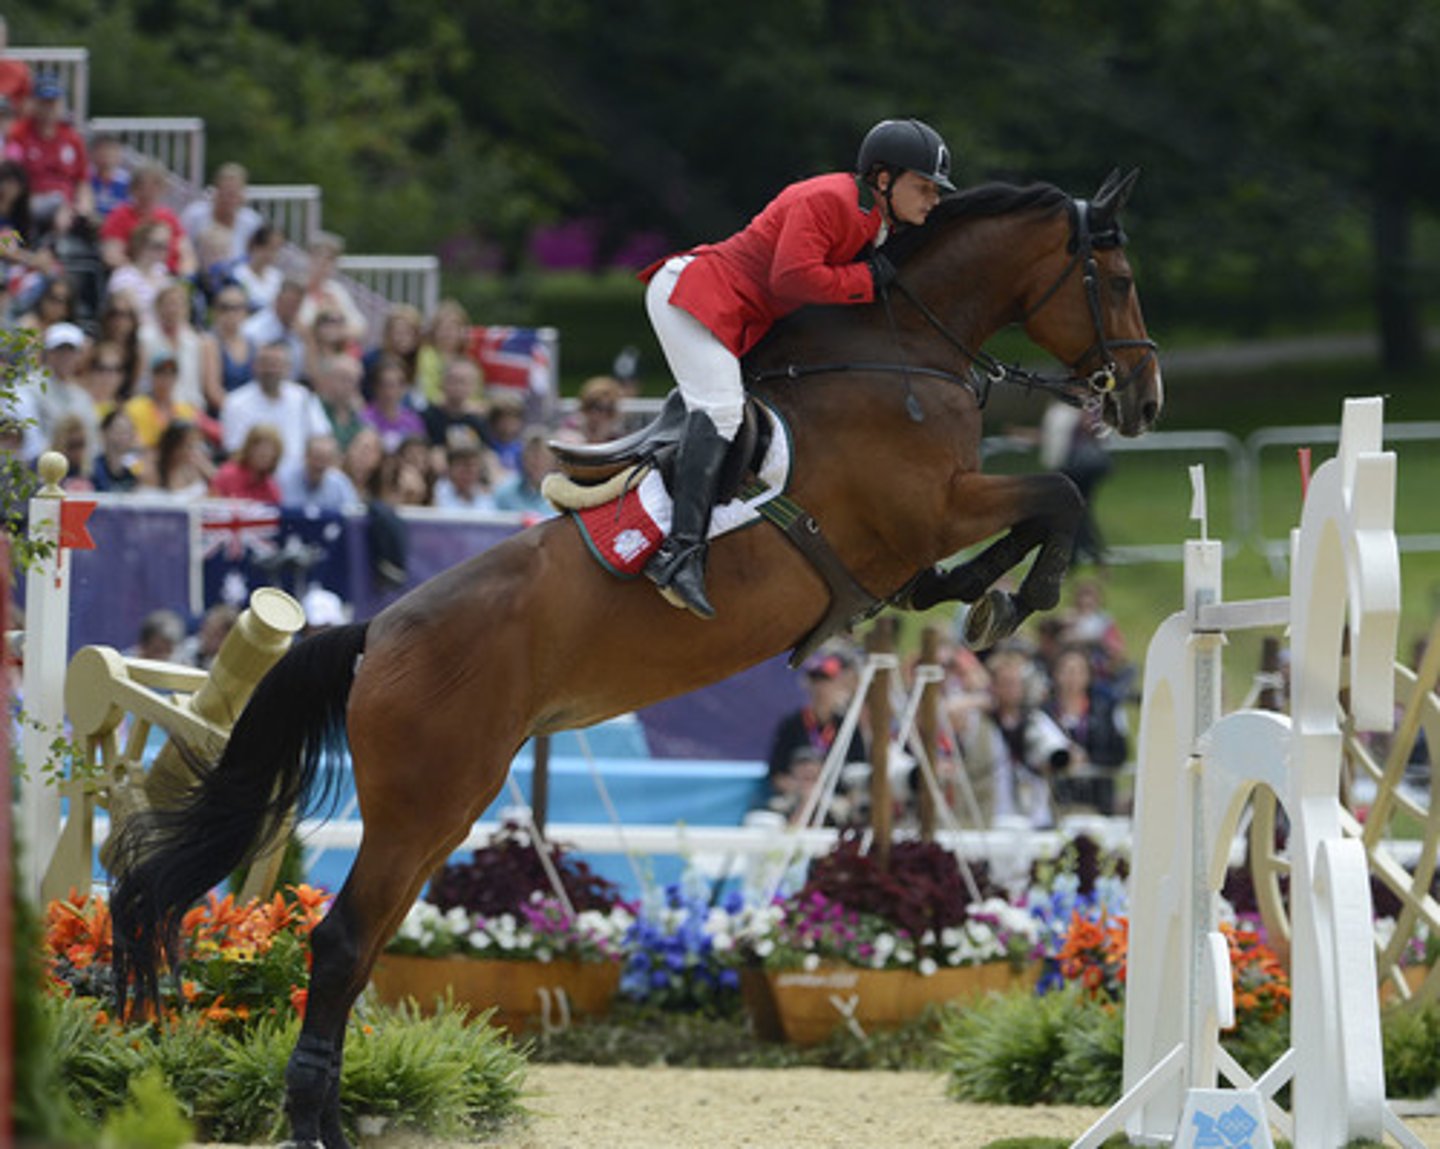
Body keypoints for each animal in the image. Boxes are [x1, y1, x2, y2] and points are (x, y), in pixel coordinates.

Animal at [108, 169, 1160, 1148]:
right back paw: (312, 1123)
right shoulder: (927, 509)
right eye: (1116, 278)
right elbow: (1060, 494)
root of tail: (377, 634)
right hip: (421, 805)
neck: (901, 352)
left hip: (444, 812)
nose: (1146, 403)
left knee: (362, 949)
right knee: (339, 943)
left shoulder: (919, 537)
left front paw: (983, 593)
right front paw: (1015, 595)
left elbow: (1017, 526)